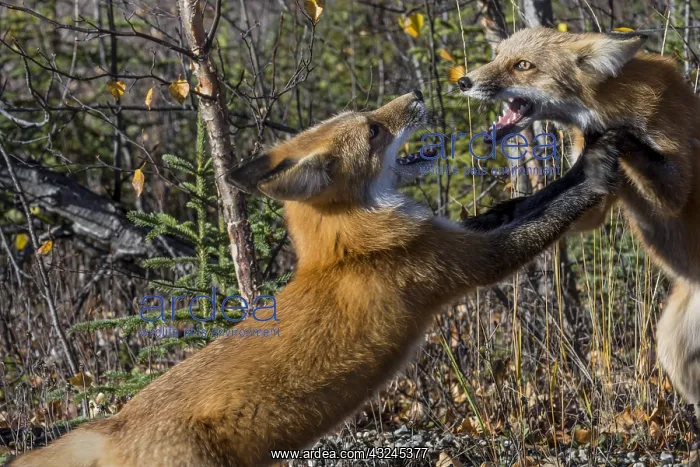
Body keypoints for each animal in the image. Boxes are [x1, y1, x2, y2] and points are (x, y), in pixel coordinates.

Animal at [9, 91, 629, 467]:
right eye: (375, 130)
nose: (418, 95)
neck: (347, 247)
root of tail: (115, 423)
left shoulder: (459, 234)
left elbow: (530, 201)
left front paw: (592, 152)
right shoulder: (466, 263)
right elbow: (552, 212)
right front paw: (598, 167)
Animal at [458, 26, 700, 425]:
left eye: (522, 65)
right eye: (497, 56)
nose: (463, 81)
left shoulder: (676, 189)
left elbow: (633, 146)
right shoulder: (594, 202)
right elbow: (536, 202)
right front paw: (489, 219)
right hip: (672, 348)